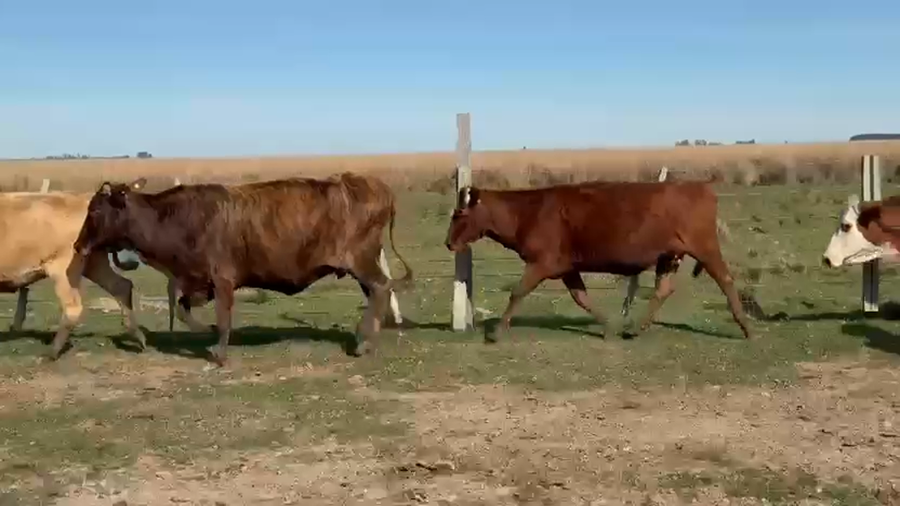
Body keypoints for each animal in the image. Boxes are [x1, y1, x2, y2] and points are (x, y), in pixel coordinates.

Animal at [0, 189, 157, 359]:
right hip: (94, 263)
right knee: (121, 286)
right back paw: (139, 337)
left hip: (63, 270)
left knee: (73, 307)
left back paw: (51, 353)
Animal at [73, 173, 414, 367]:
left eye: (95, 210)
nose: (77, 246)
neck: (179, 219)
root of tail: (365, 183)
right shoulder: (195, 282)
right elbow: (184, 311)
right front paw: (206, 333)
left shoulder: (222, 280)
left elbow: (224, 319)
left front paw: (219, 353)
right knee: (378, 292)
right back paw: (364, 338)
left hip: (362, 261)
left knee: (381, 288)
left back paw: (364, 341)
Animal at [444, 181, 754, 342]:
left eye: (459, 214)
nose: (448, 243)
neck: (526, 212)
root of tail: (700, 186)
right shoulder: (566, 267)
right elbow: (581, 297)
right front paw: (610, 327)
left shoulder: (541, 262)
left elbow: (517, 292)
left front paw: (497, 331)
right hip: (668, 256)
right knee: (663, 289)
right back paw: (637, 329)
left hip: (705, 247)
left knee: (726, 279)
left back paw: (746, 327)